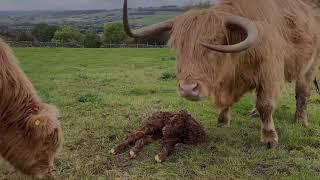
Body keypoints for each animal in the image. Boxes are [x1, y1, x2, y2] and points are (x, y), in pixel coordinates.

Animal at [122, 0, 320, 148]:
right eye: (178, 47)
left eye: (215, 42)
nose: (188, 89)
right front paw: (223, 120)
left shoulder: (269, 73)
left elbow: (266, 105)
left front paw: (269, 137)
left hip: (310, 65)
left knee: (302, 93)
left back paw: (301, 121)